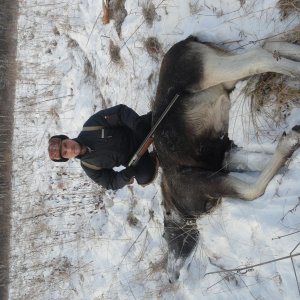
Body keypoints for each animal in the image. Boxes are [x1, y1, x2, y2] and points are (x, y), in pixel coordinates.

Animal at [152, 36, 300, 282]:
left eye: (166, 235)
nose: (172, 277)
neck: (179, 207)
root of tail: (186, 41)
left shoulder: (206, 181)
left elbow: (252, 190)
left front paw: (289, 142)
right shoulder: (227, 157)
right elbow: (258, 161)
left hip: (211, 71)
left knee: (258, 57)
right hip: (223, 71)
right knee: (267, 47)